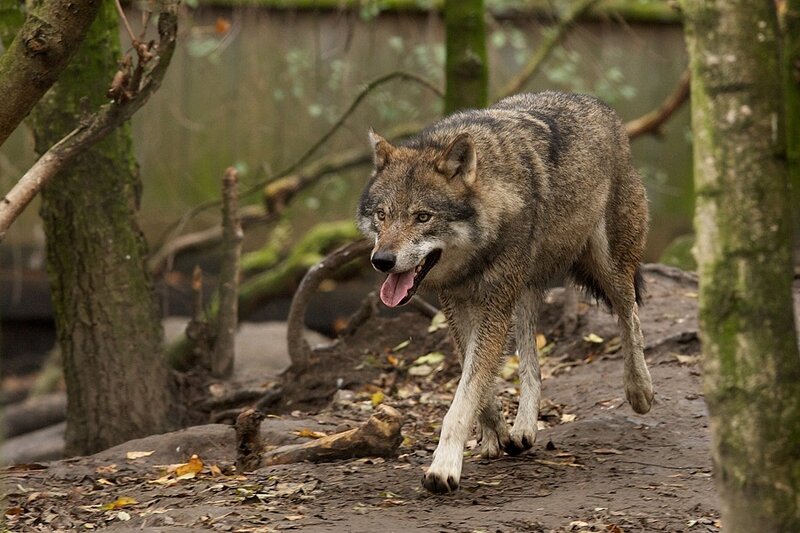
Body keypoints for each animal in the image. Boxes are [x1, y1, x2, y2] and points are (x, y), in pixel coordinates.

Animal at [357, 91, 654, 494]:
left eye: (422, 217)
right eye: (382, 215)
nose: (382, 261)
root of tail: (599, 106)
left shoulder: (494, 304)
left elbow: (463, 398)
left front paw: (444, 466)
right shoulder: (457, 303)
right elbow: (478, 381)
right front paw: (495, 433)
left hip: (608, 268)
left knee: (630, 316)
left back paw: (640, 391)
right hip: (525, 289)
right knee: (533, 364)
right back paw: (524, 428)